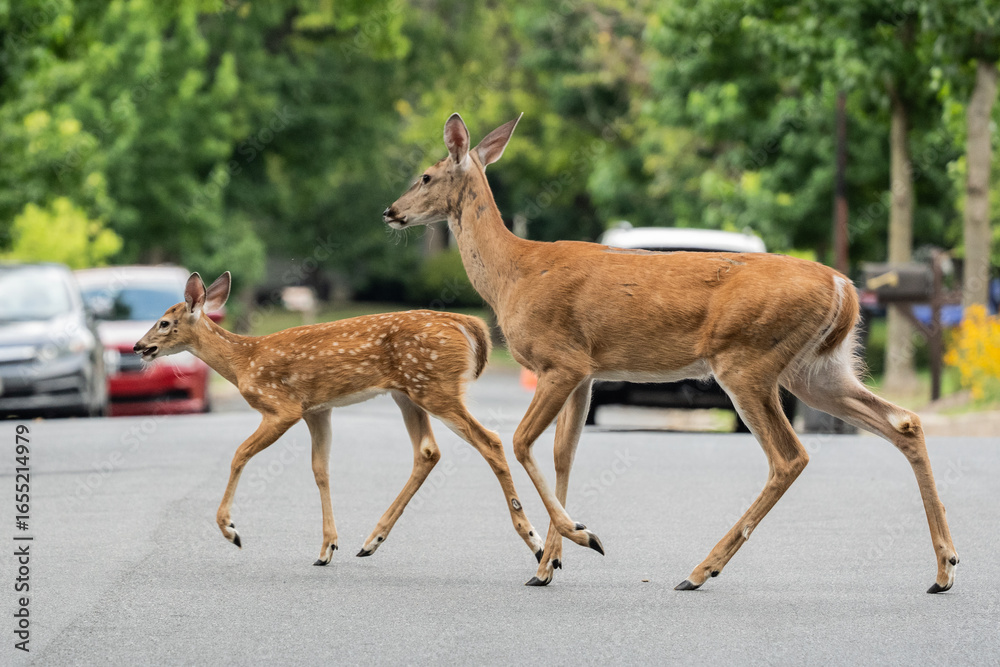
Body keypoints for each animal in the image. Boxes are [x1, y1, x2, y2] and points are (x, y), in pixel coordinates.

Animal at [133, 271, 545, 567]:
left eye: (164, 322)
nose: (139, 346)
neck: (243, 361)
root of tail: (469, 326)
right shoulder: (318, 410)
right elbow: (320, 470)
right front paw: (327, 549)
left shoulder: (282, 406)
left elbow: (239, 454)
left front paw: (231, 530)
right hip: (409, 392)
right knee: (428, 451)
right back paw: (371, 542)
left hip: (435, 387)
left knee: (490, 440)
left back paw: (537, 544)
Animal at [382, 113, 959, 593]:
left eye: (426, 176)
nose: (390, 211)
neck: (513, 274)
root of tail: (845, 288)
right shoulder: (586, 371)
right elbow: (564, 453)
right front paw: (549, 564)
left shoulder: (561, 359)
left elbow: (523, 441)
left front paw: (580, 538)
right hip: (817, 370)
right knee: (904, 422)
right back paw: (944, 569)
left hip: (747, 360)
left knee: (790, 455)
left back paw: (700, 571)